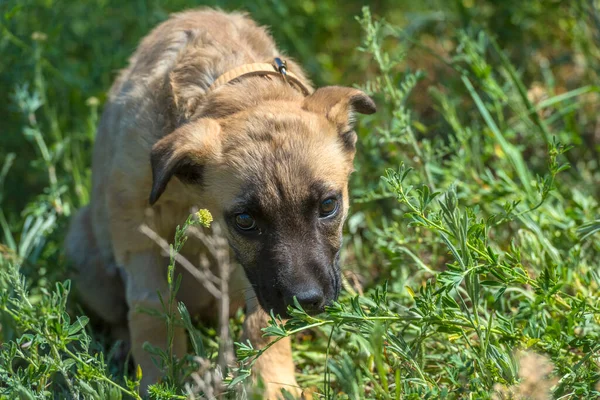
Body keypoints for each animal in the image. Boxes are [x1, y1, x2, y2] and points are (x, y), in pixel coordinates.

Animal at [65, 7, 376, 400]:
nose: (306, 302)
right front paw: (160, 380)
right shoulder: (136, 230)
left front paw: (271, 382)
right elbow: (151, 309)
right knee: (119, 317)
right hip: (82, 247)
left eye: (328, 205)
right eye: (244, 220)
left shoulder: (256, 277)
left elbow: (262, 322)